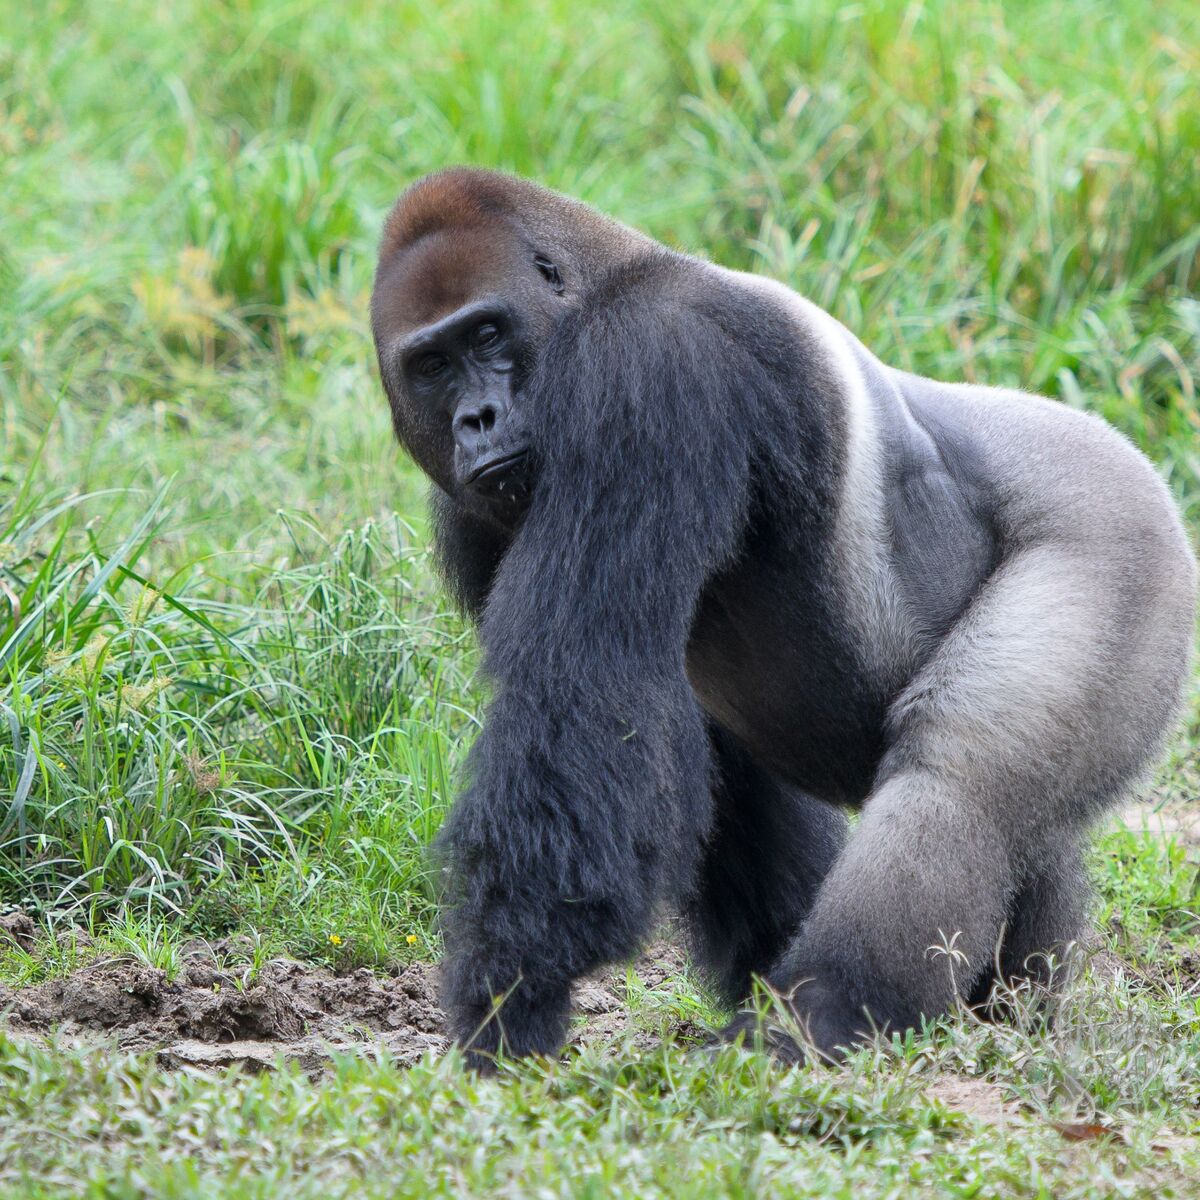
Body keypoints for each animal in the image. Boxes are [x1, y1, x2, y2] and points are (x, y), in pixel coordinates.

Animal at [369, 166, 1195, 1070]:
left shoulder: (651, 356)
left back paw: (824, 1011)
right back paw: (1001, 1010)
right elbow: (696, 753)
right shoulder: (474, 513)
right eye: (432, 365)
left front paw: (510, 995)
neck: (605, 274)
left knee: (961, 777)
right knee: (1026, 828)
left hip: (1118, 532)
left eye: (488, 334)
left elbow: (586, 691)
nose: (476, 419)